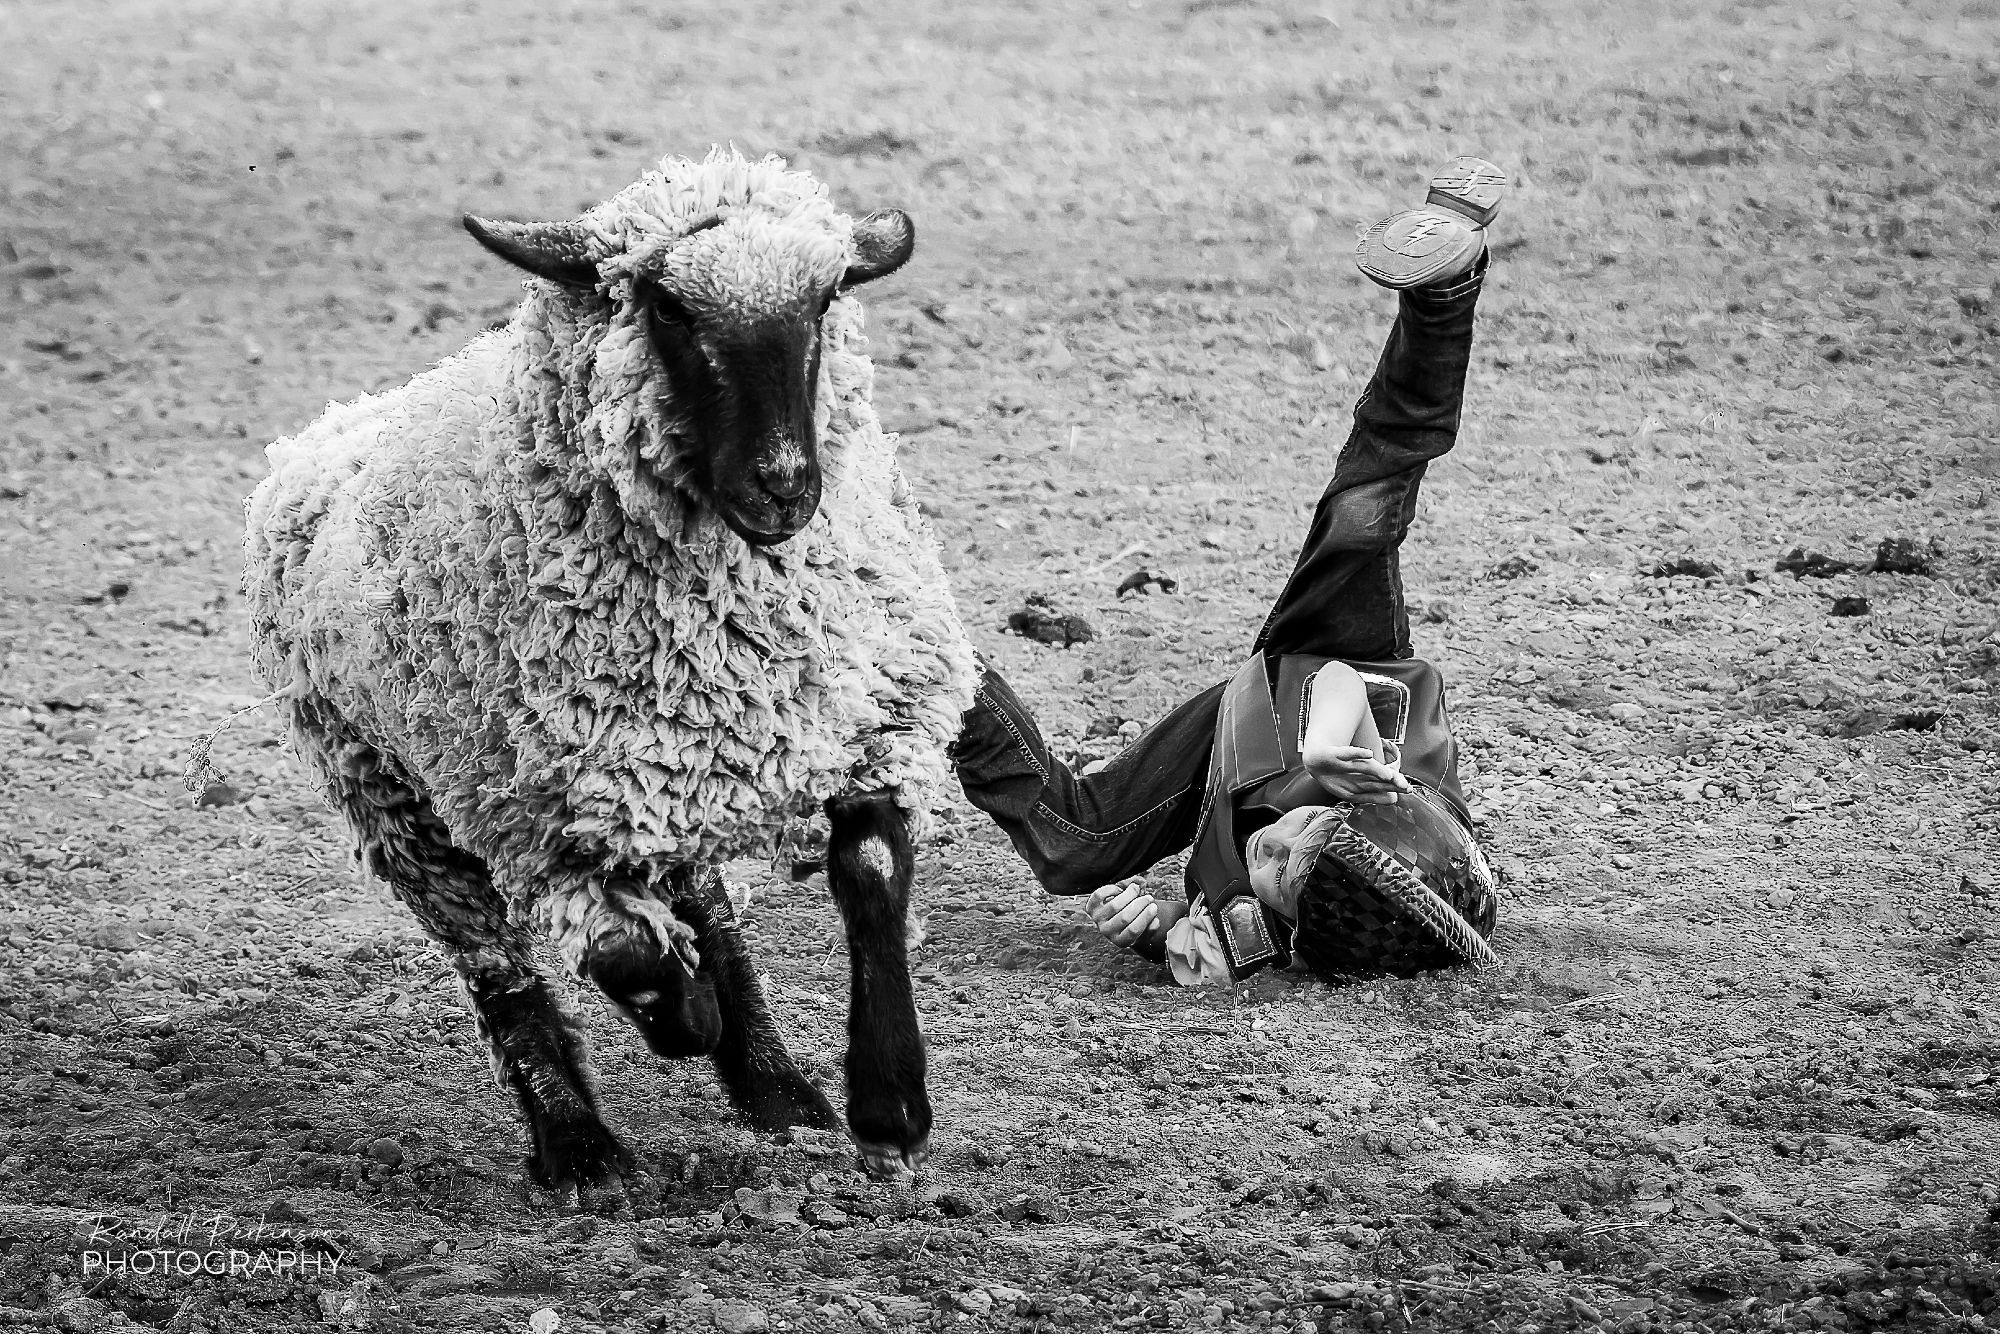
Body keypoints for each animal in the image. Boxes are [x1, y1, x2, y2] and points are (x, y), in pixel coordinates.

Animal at [246, 149, 980, 1200]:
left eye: (830, 294)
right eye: (667, 307)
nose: (785, 486)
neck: (727, 636)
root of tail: (336, 426)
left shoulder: (873, 719)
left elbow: (871, 867)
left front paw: (889, 1107)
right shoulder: (539, 819)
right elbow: (626, 953)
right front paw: (684, 1016)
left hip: (652, 774)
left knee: (704, 900)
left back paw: (775, 1088)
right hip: (396, 795)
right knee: (500, 967)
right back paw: (580, 1145)